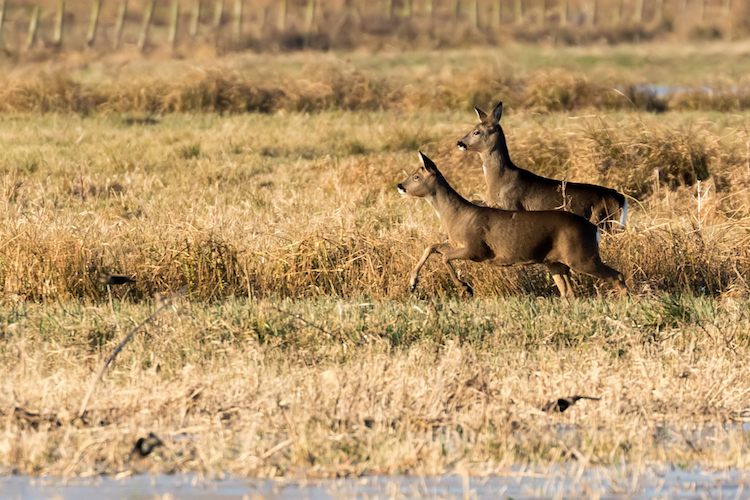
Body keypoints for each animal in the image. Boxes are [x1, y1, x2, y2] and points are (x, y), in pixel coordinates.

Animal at [397, 152, 628, 299]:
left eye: (416, 176)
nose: (400, 185)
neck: (456, 217)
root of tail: (593, 229)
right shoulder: (458, 244)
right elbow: (432, 246)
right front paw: (412, 282)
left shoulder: (476, 248)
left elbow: (444, 256)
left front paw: (465, 288)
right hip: (556, 261)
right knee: (568, 292)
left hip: (582, 256)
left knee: (616, 275)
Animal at [457, 102, 627, 230]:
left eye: (476, 132)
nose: (460, 142)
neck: (499, 179)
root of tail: (619, 198)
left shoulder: (512, 206)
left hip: (602, 221)